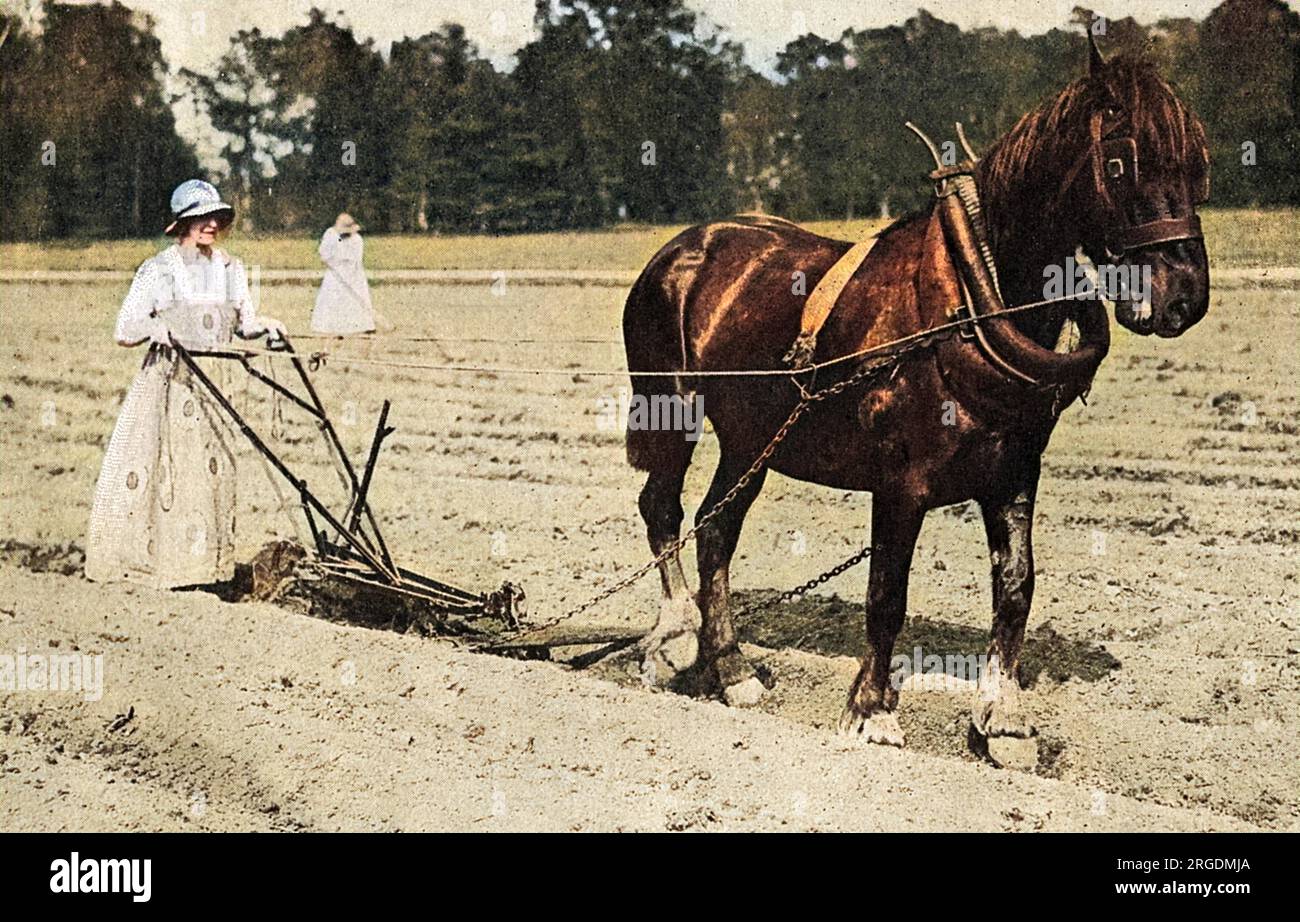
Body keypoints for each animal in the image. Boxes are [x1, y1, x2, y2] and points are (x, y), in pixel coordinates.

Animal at [618, 39, 1206, 743]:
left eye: (1198, 166)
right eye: (1121, 162)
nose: (1185, 297)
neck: (972, 299)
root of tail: (681, 248)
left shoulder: (1014, 471)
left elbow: (1017, 585)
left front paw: (1003, 716)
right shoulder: (900, 483)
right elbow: (886, 593)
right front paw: (871, 709)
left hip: (751, 440)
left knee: (715, 530)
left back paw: (732, 670)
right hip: (670, 411)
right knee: (662, 509)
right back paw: (676, 636)